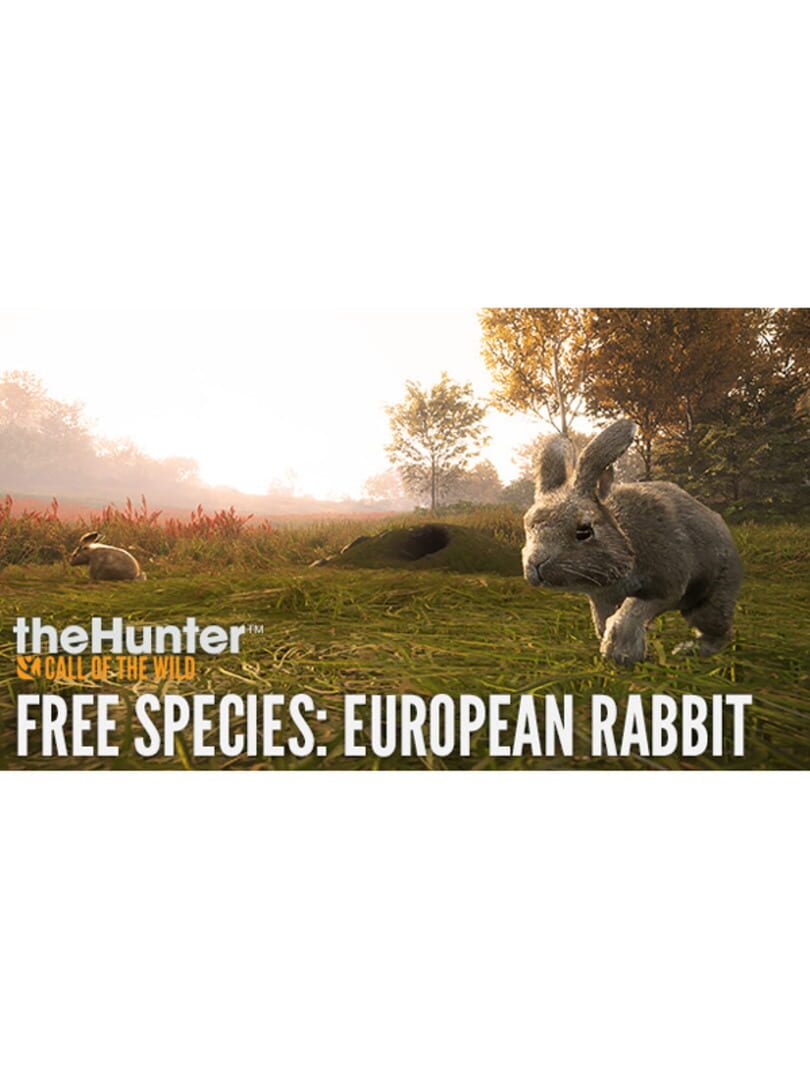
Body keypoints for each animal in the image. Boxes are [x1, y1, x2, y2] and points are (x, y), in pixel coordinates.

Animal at [522, 419, 742, 666]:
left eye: (584, 531)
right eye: (527, 524)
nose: (535, 565)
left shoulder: (664, 586)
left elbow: (630, 612)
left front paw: (620, 654)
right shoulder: (601, 598)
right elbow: (604, 620)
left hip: (712, 599)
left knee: (716, 629)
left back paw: (689, 650)